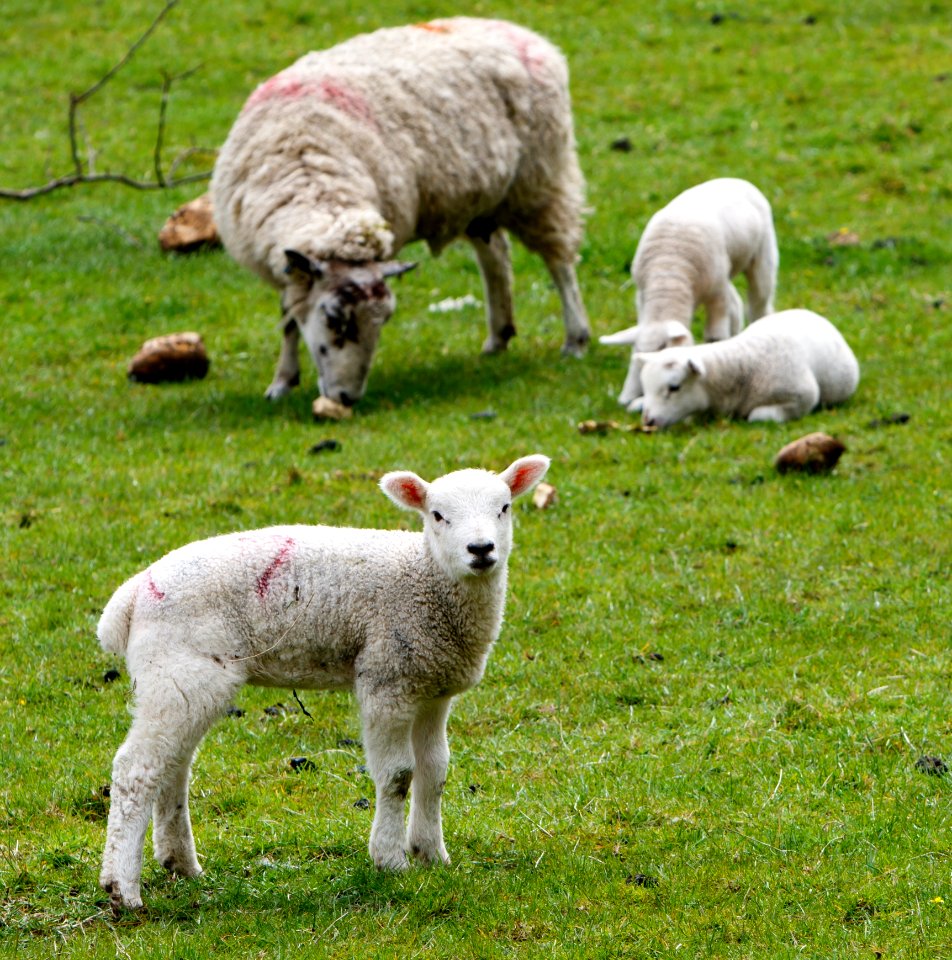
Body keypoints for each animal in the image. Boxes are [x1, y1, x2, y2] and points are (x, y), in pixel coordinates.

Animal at [96, 454, 552, 912]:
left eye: (504, 508)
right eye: (438, 515)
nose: (481, 549)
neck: (426, 578)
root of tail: (132, 596)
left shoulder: (432, 686)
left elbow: (435, 770)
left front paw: (431, 854)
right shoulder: (387, 677)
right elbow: (398, 774)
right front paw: (390, 860)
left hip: (182, 682)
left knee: (173, 765)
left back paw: (180, 862)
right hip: (179, 669)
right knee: (136, 769)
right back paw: (123, 887)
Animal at [212, 16, 592, 408]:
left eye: (384, 321)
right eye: (333, 317)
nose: (347, 397)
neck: (311, 174)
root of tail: (526, 35)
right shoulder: (289, 269)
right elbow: (289, 320)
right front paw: (282, 382)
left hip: (540, 180)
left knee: (560, 262)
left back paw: (575, 338)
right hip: (482, 198)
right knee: (496, 255)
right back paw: (498, 337)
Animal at [604, 178, 780, 410]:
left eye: (664, 350)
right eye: (638, 352)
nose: (630, 398)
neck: (669, 275)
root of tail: (733, 179)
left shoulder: (716, 295)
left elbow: (714, 337)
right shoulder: (642, 299)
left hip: (761, 257)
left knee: (759, 303)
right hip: (725, 271)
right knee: (736, 302)